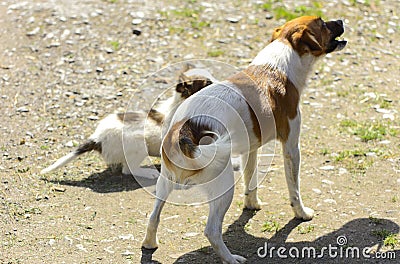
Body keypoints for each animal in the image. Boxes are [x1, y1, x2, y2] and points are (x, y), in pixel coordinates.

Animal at [142, 16, 346, 262]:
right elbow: (294, 188)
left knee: (153, 217)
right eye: (323, 23)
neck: (277, 67)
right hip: (223, 187)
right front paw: (301, 213)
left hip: (165, 182)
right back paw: (230, 258)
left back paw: (150, 243)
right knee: (211, 230)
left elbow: (251, 180)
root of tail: (183, 128)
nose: (341, 20)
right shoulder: (291, 147)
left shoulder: (251, 149)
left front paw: (252, 204)